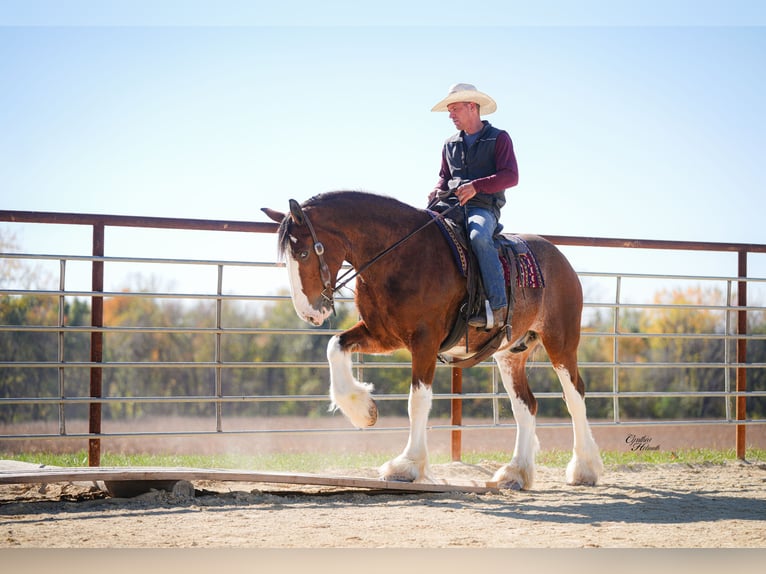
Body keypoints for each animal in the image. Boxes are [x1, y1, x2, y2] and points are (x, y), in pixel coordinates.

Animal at [262, 190, 603, 489]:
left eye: (304, 252)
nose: (309, 313)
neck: (400, 255)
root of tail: (559, 259)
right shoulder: (382, 335)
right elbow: (335, 346)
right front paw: (363, 410)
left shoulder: (424, 342)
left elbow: (417, 401)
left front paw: (407, 465)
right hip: (510, 354)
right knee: (526, 406)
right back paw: (515, 473)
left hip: (561, 342)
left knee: (575, 396)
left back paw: (584, 469)